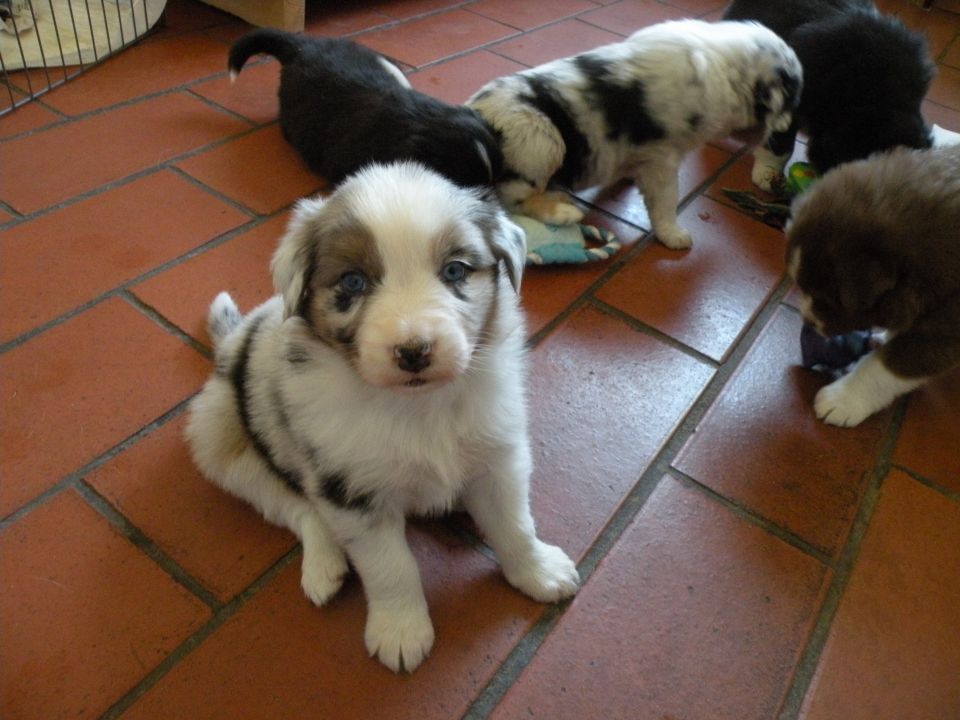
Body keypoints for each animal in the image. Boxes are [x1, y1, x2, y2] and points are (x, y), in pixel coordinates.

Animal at [186, 162, 576, 668]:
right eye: (353, 282)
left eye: (455, 270)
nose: (414, 352)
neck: (417, 405)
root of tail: (230, 343)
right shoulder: (351, 488)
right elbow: (391, 566)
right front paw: (401, 632)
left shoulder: (499, 455)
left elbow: (514, 524)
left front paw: (539, 572)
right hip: (219, 437)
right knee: (294, 504)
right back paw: (324, 566)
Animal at [466, 18, 804, 249]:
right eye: (791, 98)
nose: (788, 132)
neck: (729, 71)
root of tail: (476, 112)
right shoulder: (663, 159)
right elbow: (666, 201)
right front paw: (674, 235)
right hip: (541, 141)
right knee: (510, 201)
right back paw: (562, 210)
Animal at [788, 145, 960, 428]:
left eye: (825, 301)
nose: (807, 321)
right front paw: (885, 337)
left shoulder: (942, 333)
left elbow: (883, 368)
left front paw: (841, 400)